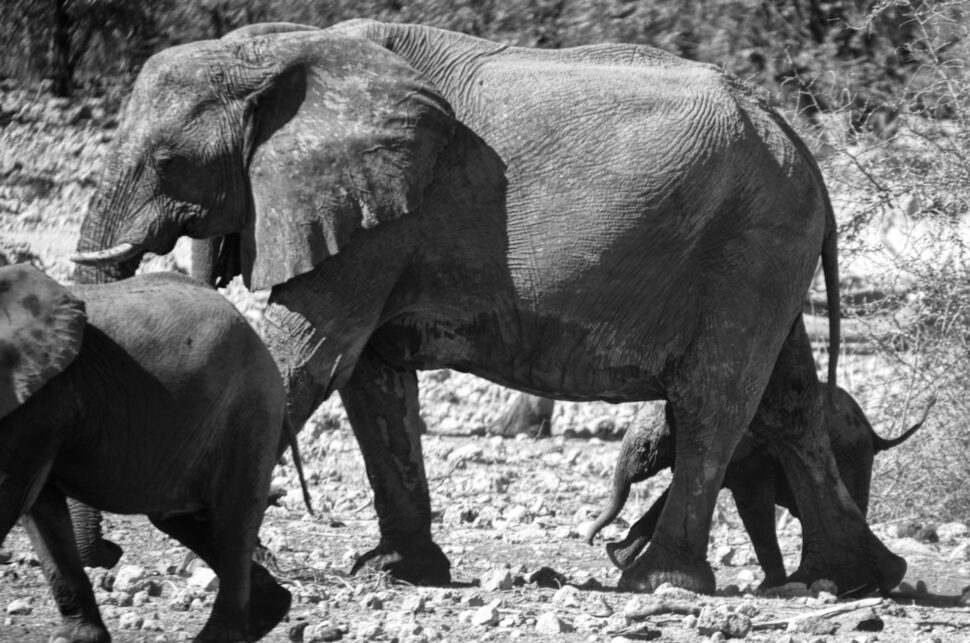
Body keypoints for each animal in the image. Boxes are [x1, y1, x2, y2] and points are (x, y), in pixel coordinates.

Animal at [0, 266, 294, 643]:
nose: (113, 552)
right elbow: (40, 509)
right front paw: (76, 640)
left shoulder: (38, 403)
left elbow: (12, 494)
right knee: (184, 520)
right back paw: (271, 609)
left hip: (250, 412)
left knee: (231, 522)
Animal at [588, 390, 928, 592]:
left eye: (645, 448)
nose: (591, 540)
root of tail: (873, 431)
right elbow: (670, 496)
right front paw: (617, 558)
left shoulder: (752, 453)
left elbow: (752, 506)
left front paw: (768, 588)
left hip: (851, 453)